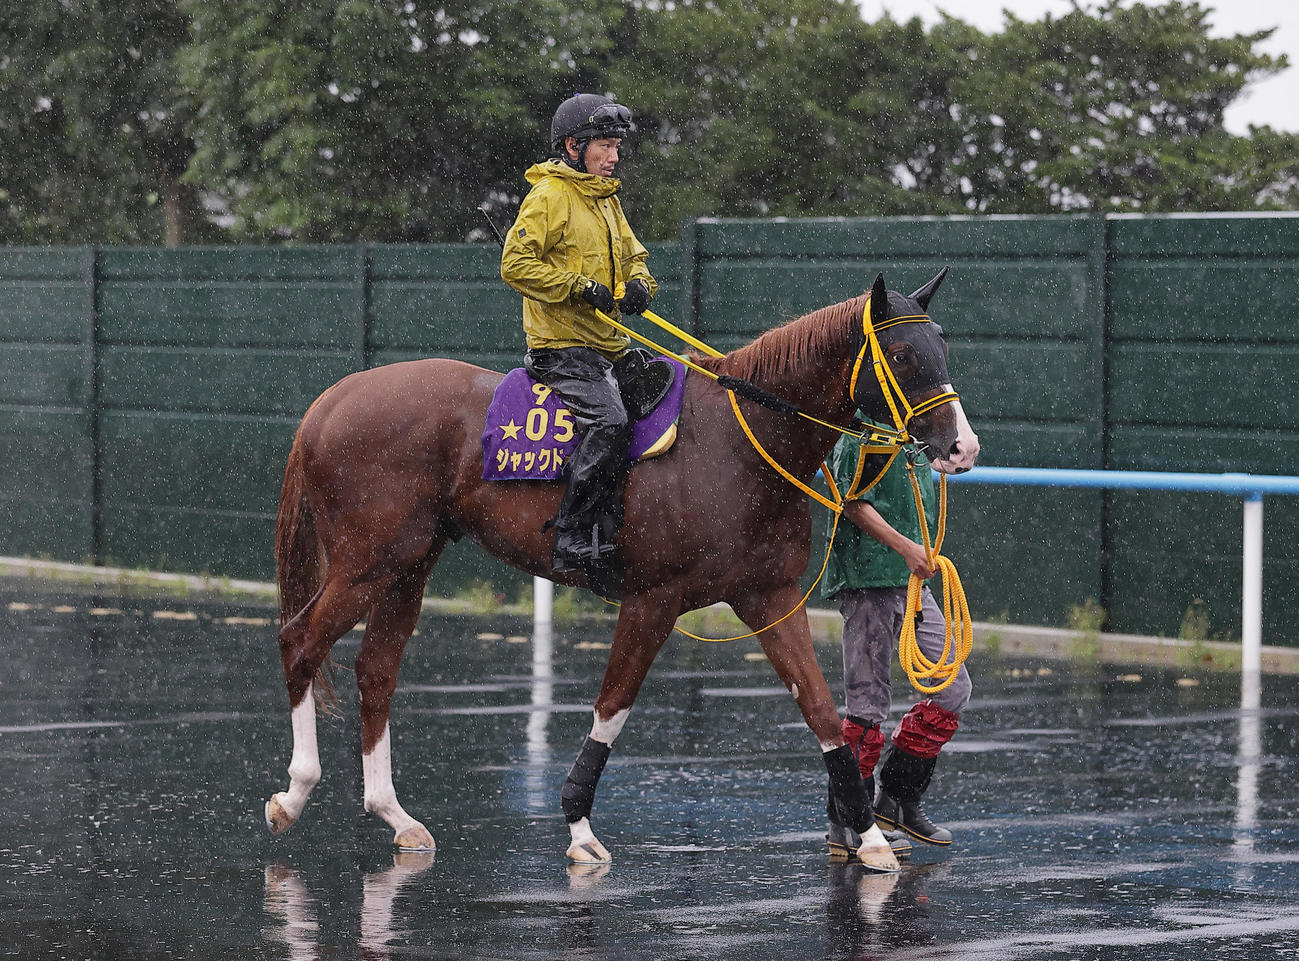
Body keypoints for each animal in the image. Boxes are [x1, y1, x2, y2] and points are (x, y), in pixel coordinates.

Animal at [265, 270, 979, 871]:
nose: (960, 446)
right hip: (365, 564)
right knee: (301, 640)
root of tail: (334, 398)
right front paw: (579, 828)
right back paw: (295, 793)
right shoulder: (651, 601)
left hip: (409, 565)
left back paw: (395, 815)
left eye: (942, 345)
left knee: (375, 670)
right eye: (905, 355)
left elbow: (825, 713)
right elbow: (612, 707)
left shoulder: (770, 598)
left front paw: (871, 835)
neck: (739, 442)